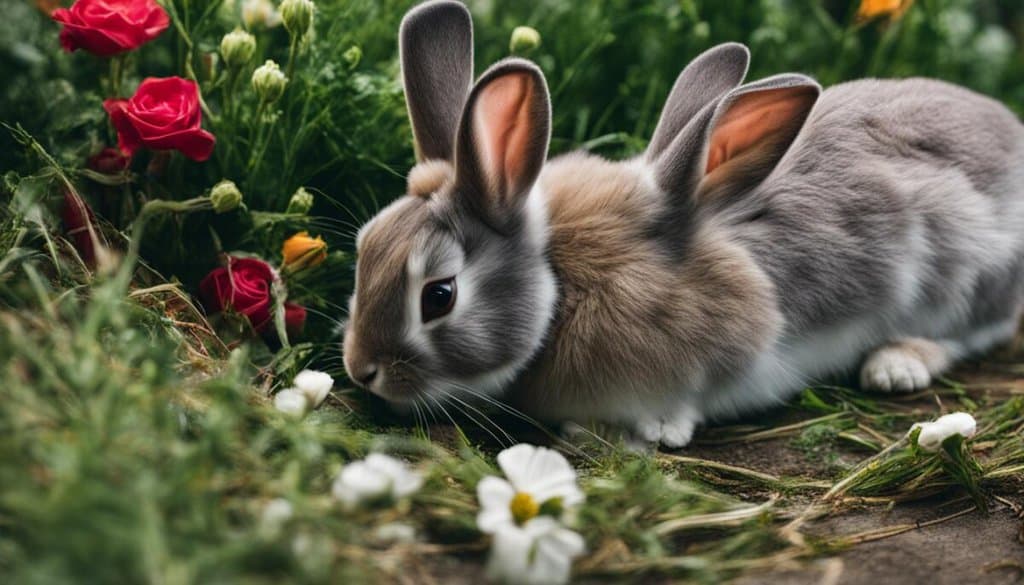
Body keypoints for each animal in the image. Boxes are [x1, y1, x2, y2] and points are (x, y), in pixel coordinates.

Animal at [343, 0, 1024, 447]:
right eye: (364, 250)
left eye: (439, 296)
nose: (361, 371)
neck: (560, 280)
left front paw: (639, 431)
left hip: (963, 279)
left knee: (972, 331)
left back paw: (896, 363)